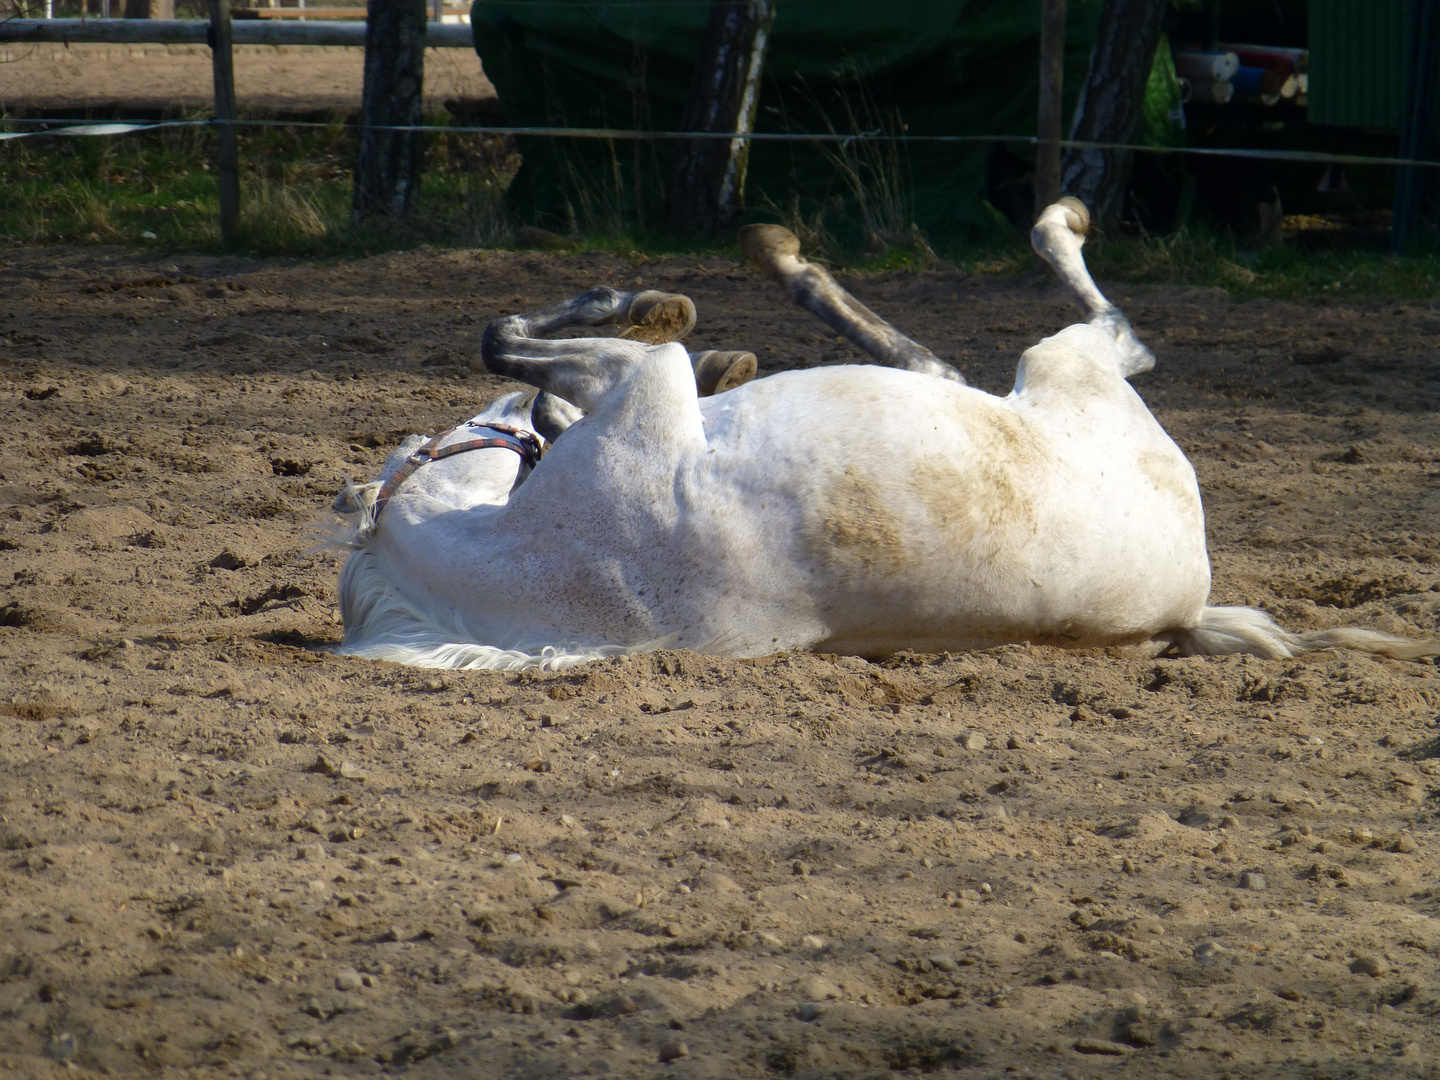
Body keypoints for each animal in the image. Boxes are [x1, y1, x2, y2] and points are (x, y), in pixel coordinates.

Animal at [329, 195, 1440, 668]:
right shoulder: (641, 386)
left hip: (1052, 377)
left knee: (1017, 347)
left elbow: (512, 343)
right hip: (1067, 373)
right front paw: (659, 310)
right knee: (1107, 331)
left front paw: (670, 321)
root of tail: (1194, 598)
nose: (514, 428)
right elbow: (516, 340)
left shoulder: (633, 388)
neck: (562, 570)